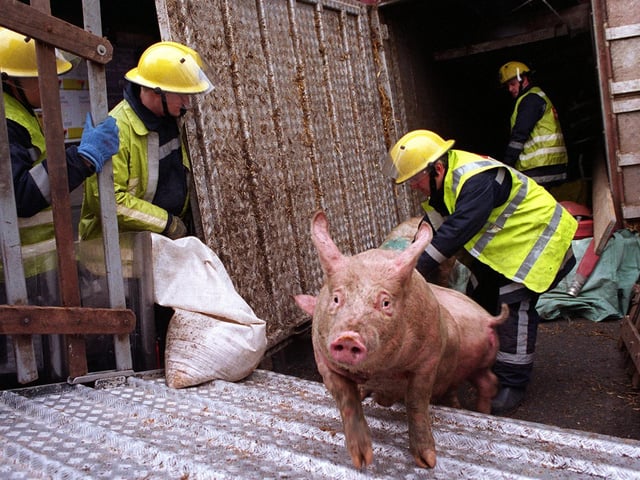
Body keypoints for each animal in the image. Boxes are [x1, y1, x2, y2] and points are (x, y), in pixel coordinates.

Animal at [294, 210, 507, 470]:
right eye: (336, 299)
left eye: (385, 302)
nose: (349, 337)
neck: (379, 372)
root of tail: (489, 319)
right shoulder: (324, 361)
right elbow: (347, 401)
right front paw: (362, 460)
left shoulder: (429, 359)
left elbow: (416, 402)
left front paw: (428, 462)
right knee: (488, 381)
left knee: (485, 383)